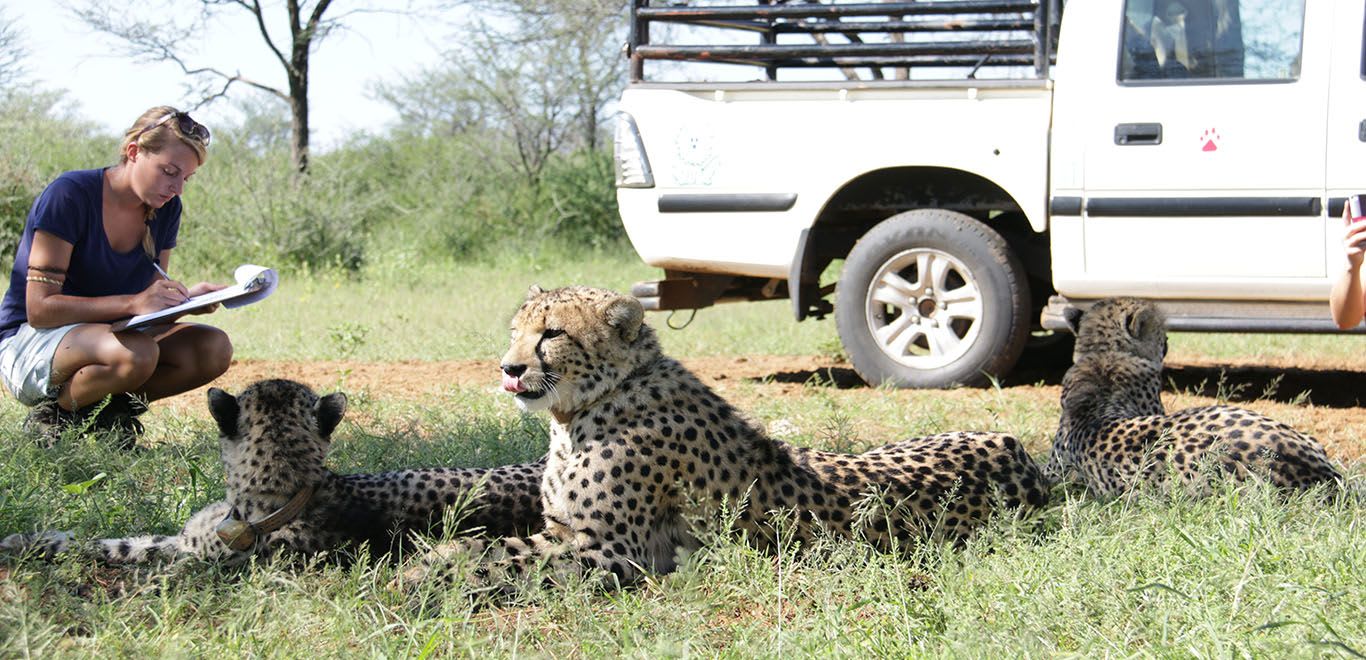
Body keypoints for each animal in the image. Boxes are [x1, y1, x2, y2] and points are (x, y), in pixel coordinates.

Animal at [398, 288, 1049, 593]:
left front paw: (413, 575)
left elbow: (498, 556)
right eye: (515, 331)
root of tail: (1020, 452)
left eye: (551, 334)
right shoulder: (569, 533)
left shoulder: (614, 550)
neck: (591, 403)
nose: (508, 369)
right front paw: (417, 565)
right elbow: (492, 546)